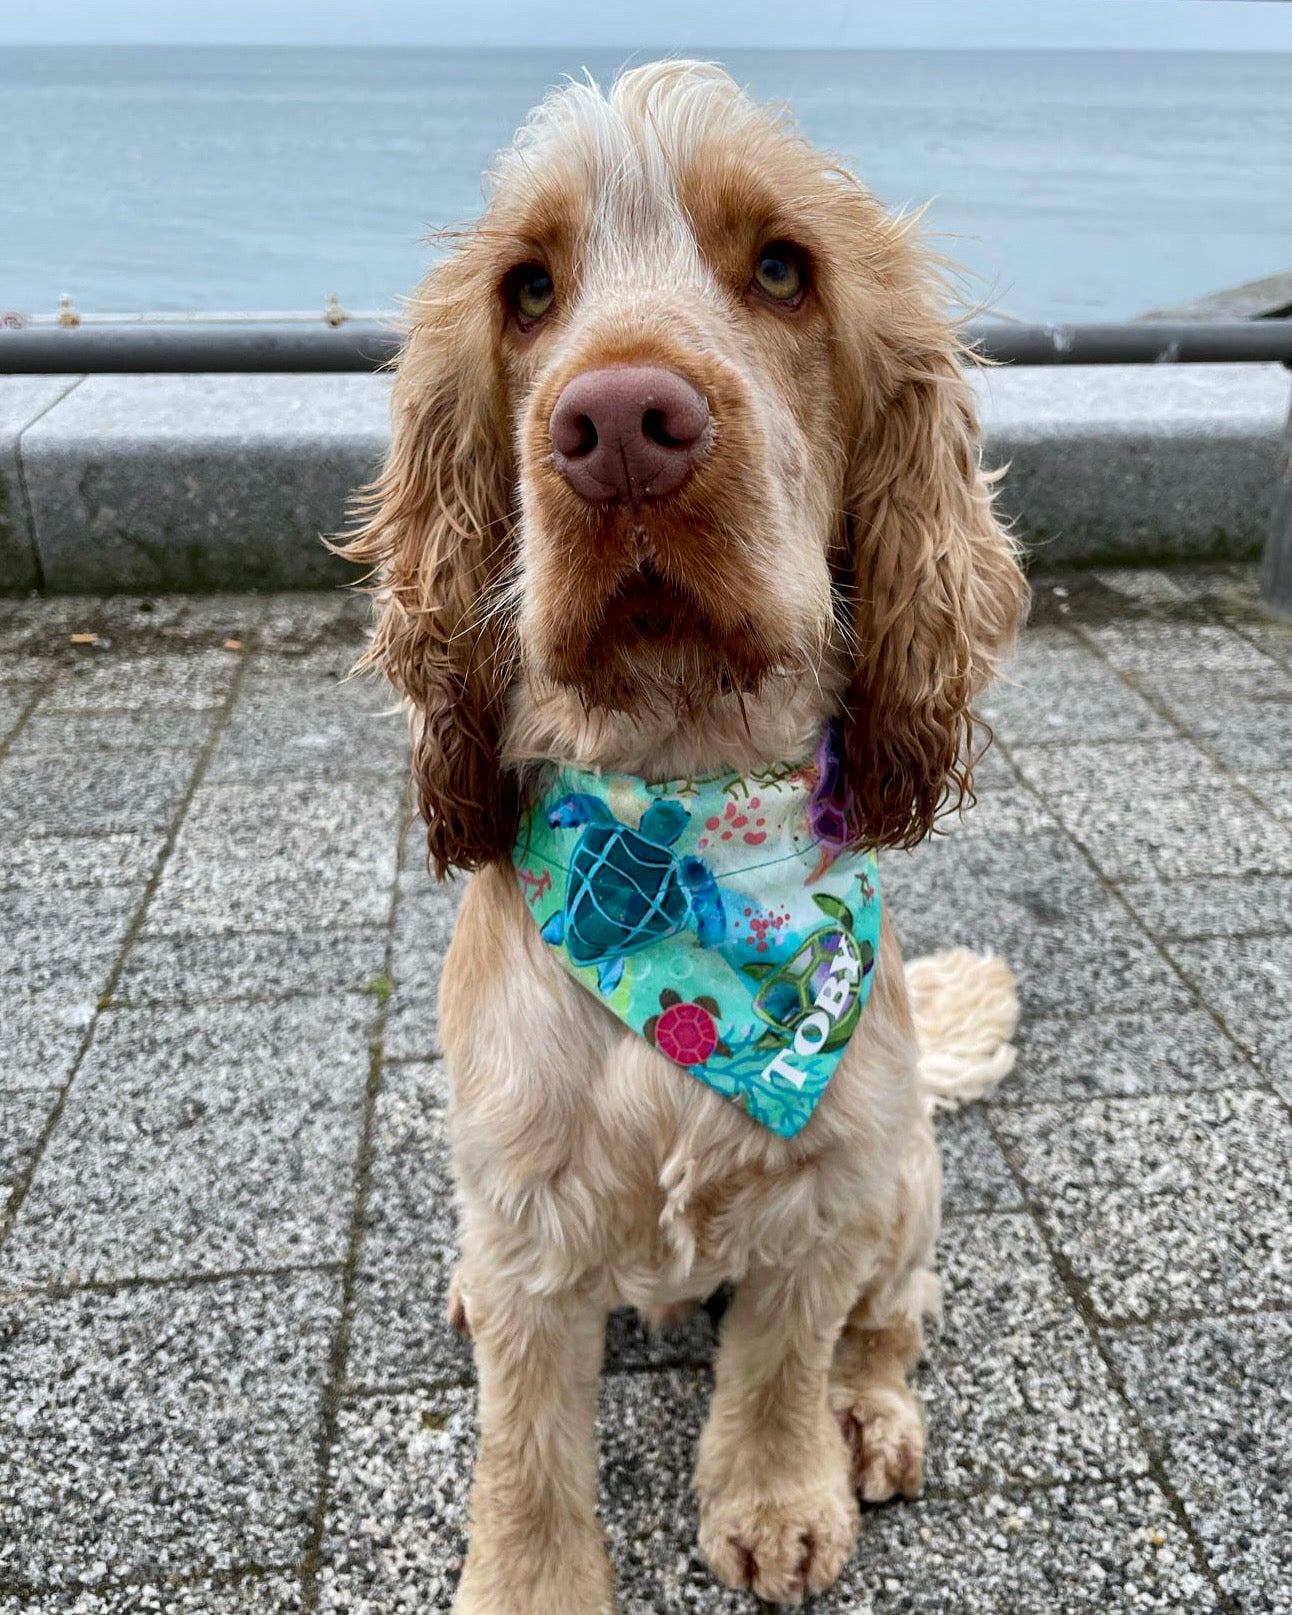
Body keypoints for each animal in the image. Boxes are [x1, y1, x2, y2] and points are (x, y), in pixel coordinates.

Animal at [342, 56, 1027, 1608]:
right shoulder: (527, 1210)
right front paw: (530, 1581)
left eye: (782, 269)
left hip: (908, 1178)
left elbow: (778, 1364)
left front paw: (781, 1503)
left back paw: (871, 1420)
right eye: (529, 290)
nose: (617, 425)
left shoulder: (822, 1191)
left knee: (894, 1319)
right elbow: (526, 1439)